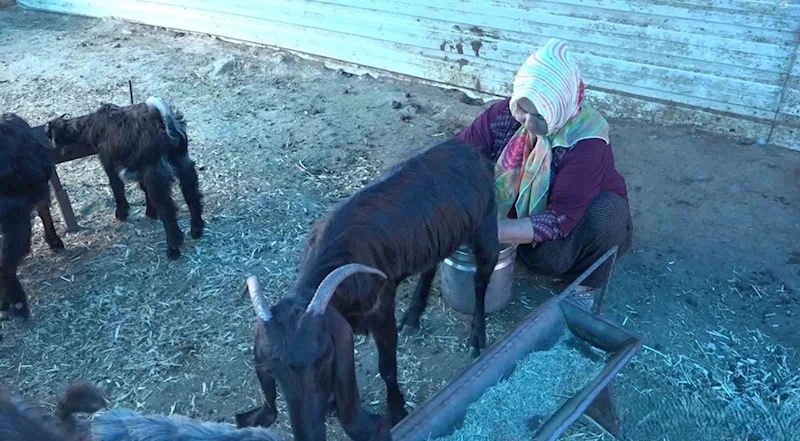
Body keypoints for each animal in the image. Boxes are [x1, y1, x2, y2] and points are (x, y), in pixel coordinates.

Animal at [44, 97, 205, 258]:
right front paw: (150, 212)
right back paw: (196, 230)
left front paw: (122, 214)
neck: (91, 124)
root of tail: (165, 122)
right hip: (183, 164)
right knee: (192, 196)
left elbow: (117, 187)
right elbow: (143, 189)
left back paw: (173, 249)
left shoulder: (110, 164)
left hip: (156, 175)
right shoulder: (139, 168)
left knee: (167, 209)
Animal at [236, 138, 500, 440]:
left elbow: (387, 368)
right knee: (430, 267)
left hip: (485, 228)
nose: (309, 433)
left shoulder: (381, 311)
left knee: (481, 279)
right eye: (273, 369)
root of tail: (468, 148)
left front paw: (396, 412)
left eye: (323, 359)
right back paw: (412, 316)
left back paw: (476, 337)